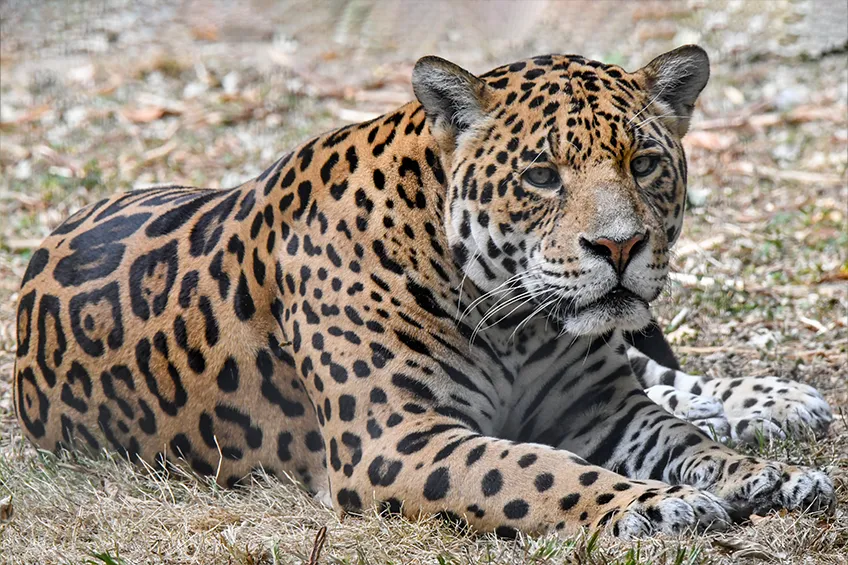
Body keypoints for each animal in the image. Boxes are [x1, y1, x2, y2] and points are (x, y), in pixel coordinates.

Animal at [14, 45, 835, 538]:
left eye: (642, 164)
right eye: (542, 175)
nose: (620, 247)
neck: (519, 324)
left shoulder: (599, 405)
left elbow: (685, 439)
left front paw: (762, 474)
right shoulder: (395, 439)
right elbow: (535, 470)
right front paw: (658, 502)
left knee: (665, 376)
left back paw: (777, 405)